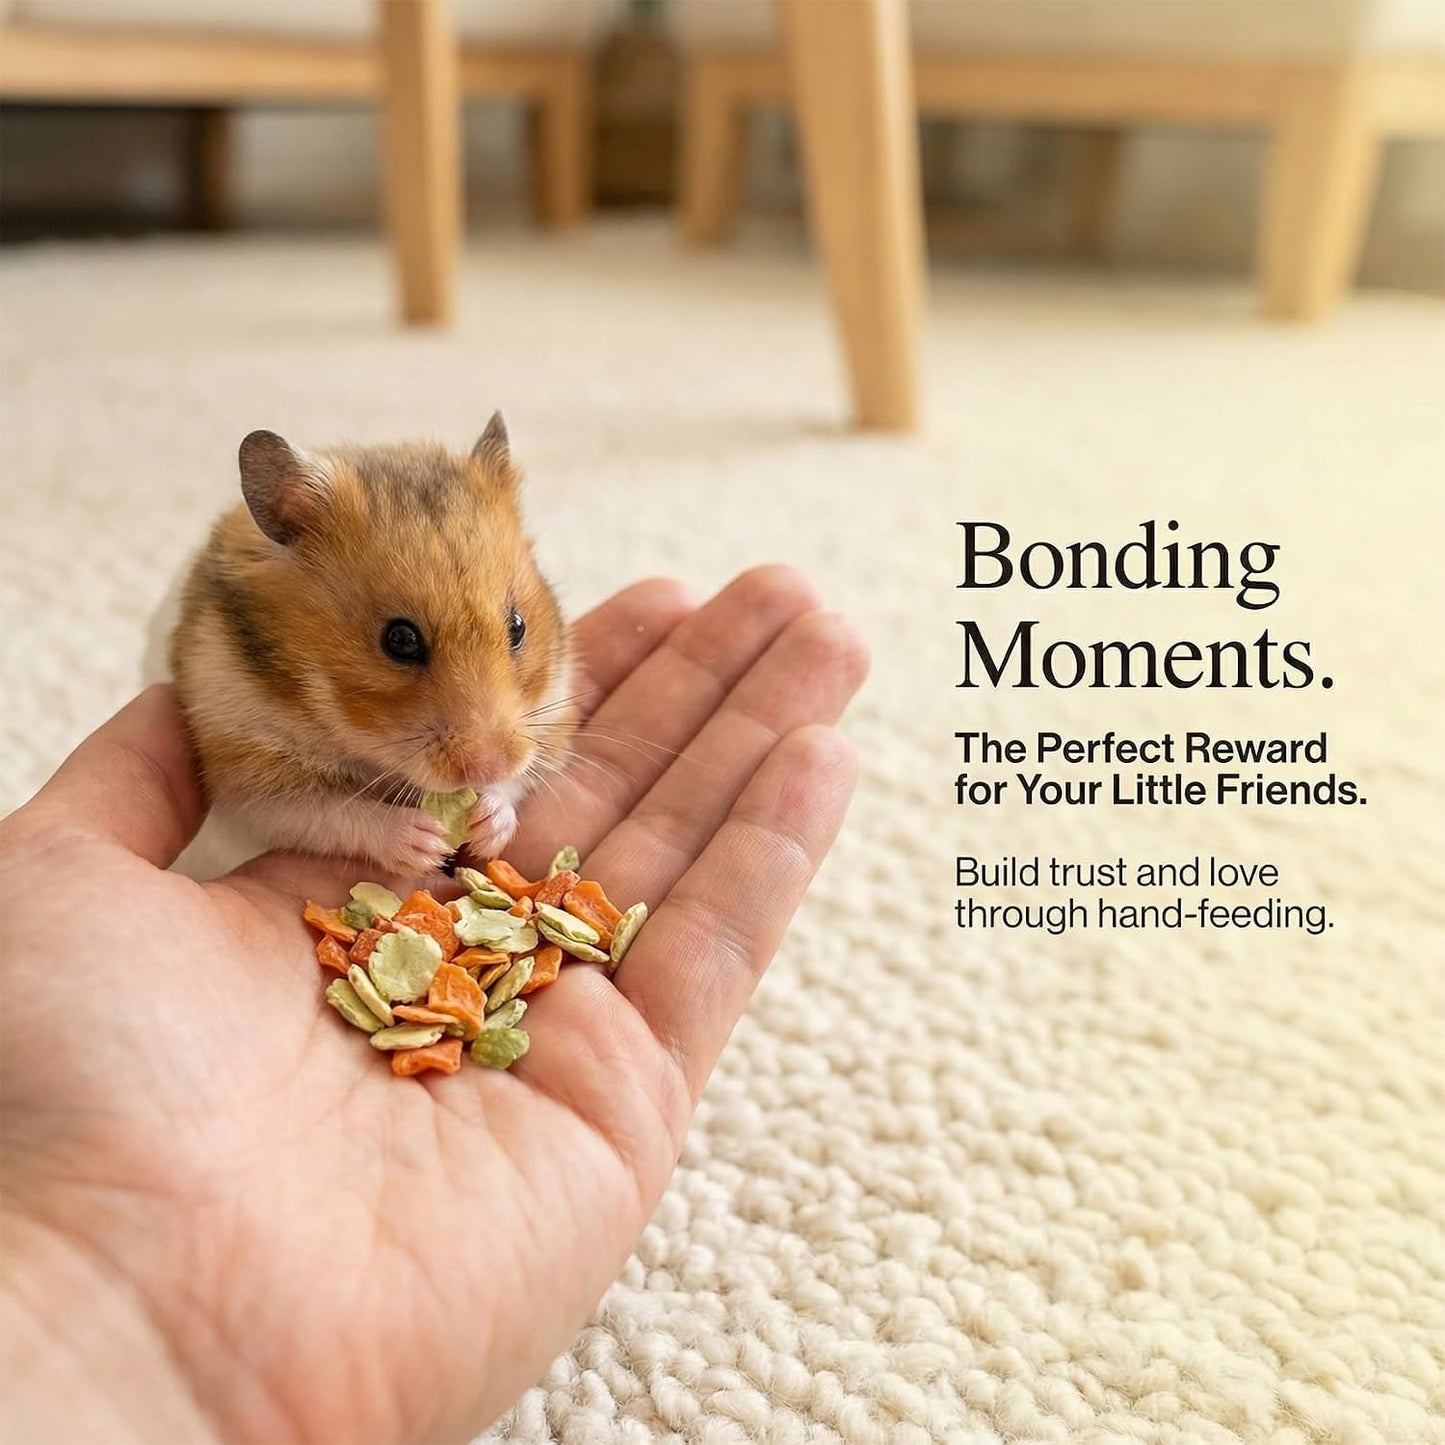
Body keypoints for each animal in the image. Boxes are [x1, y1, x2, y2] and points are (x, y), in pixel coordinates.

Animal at [160, 413, 576, 880]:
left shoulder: (549, 720)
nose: (489, 764)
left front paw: (487, 821)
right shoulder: (249, 773)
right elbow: (328, 811)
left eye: (517, 626)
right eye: (400, 640)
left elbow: (515, 783)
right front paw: (423, 843)